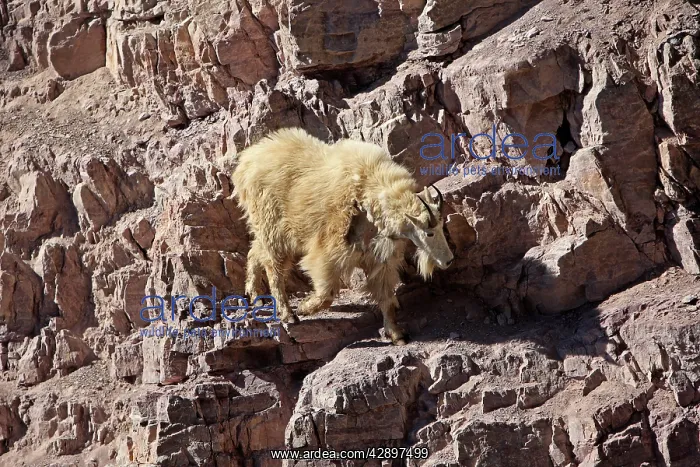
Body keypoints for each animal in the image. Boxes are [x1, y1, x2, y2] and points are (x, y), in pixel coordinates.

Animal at [230, 128, 454, 345]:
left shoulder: (379, 259)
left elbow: (386, 297)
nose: (449, 260)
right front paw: (304, 307)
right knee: (274, 267)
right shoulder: (329, 251)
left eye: (441, 227)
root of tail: (245, 164)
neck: (367, 195)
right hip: (272, 228)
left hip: (267, 230)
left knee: (254, 252)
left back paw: (256, 297)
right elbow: (326, 292)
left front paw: (397, 335)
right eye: (429, 232)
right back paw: (287, 313)